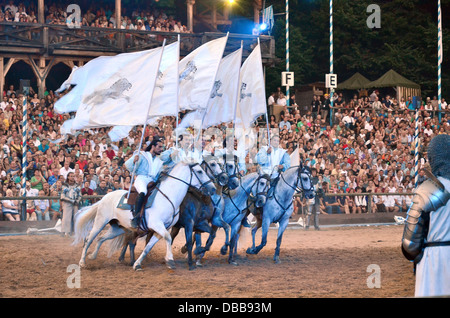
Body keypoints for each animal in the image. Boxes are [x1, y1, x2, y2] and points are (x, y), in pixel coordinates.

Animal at [72, 161, 216, 270]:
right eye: (200, 171)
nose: (213, 188)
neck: (168, 197)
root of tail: (104, 198)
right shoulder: (157, 226)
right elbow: (168, 238)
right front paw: (170, 260)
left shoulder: (160, 230)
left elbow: (148, 247)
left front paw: (137, 264)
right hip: (100, 222)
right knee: (89, 239)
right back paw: (82, 262)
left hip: (117, 228)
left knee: (101, 239)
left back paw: (92, 256)